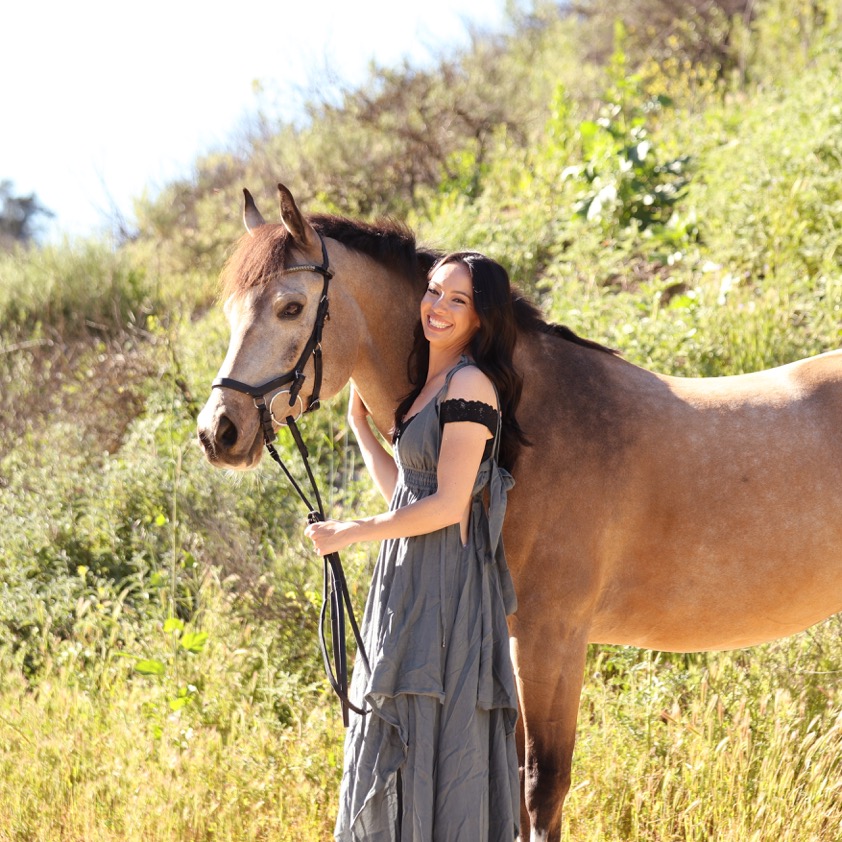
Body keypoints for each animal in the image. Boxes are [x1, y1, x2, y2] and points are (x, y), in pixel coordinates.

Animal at [196, 183, 842, 841]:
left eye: (291, 307)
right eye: (231, 313)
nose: (218, 432)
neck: (532, 425)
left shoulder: (552, 640)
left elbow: (540, 787)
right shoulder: (508, 637)